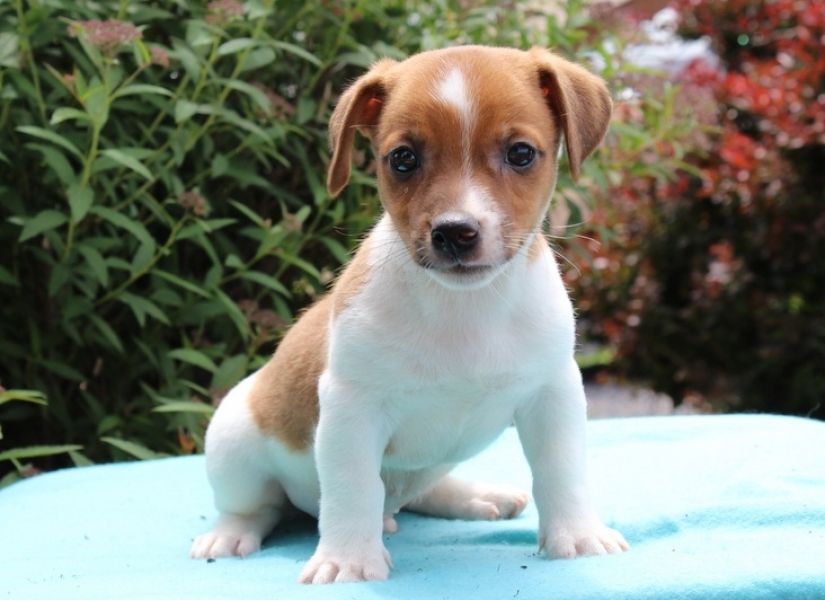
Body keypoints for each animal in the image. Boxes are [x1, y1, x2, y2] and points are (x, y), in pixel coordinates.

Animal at [190, 45, 628, 584]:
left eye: (521, 153)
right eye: (403, 159)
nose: (455, 231)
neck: (464, 307)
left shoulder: (553, 393)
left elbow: (561, 470)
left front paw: (577, 535)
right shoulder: (352, 408)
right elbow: (353, 487)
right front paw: (348, 560)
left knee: (419, 491)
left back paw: (474, 495)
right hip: (233, 445)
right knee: (259, 507)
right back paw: (232, 533)